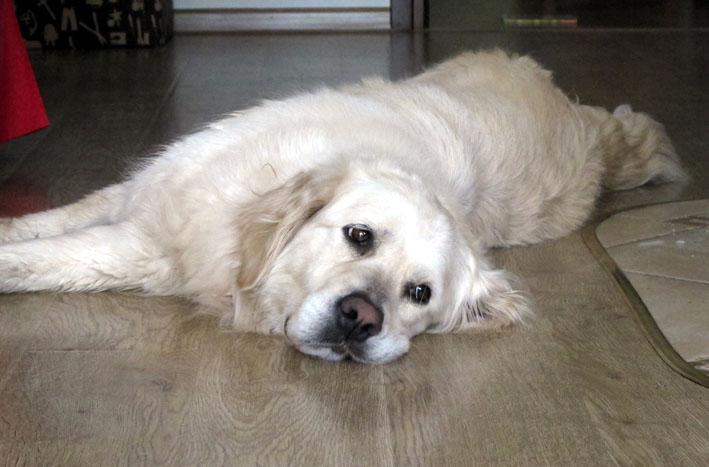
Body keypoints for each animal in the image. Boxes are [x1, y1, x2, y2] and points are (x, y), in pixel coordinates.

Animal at [0, 50, 686, 363]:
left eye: (420, 294)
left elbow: (49, 256)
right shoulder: (142, 197)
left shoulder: (145, 246)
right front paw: (15, 224)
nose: (360, 319)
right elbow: (51, 223)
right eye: (359, 235)